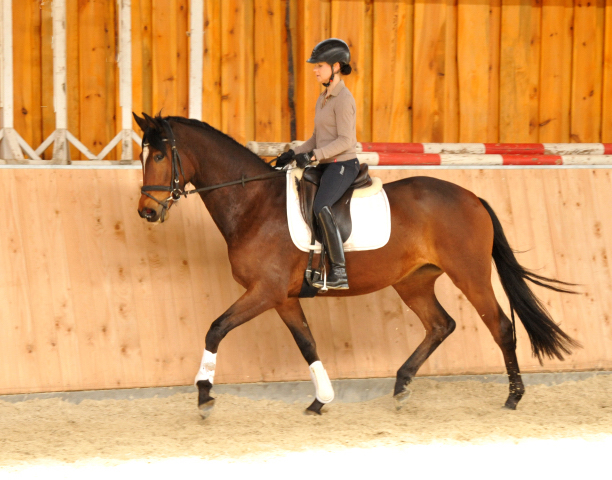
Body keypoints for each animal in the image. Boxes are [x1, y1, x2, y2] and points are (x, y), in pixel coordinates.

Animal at [133, 112, 580, 416]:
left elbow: (216, 328)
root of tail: (472, 198)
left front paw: (204, 393)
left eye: (160, 155)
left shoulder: (265, 291)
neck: (254, 205)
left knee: (500, 326)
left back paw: (513, 396)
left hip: (469, 274)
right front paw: (321, 399)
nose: (147, 212)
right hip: (413, 281)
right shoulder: (283, 298)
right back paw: (401, 386)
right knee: (441, 324)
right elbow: (307, 343)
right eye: (141, 155)